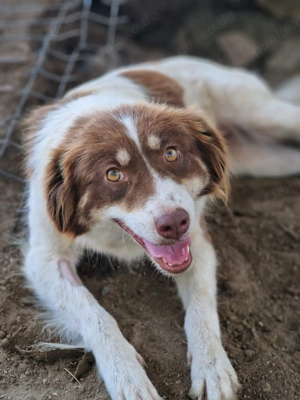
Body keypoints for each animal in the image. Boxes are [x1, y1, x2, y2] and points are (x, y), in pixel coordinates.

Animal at [23, 56, 300, 400]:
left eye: (171, 153)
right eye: (113, 174)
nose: (175, 223)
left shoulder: (197, 238)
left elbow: (201, 305)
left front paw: (211, 365)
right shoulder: (44, 257)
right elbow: (93, 312)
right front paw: (127, 375)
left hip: (262, 114)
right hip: (265, 159)